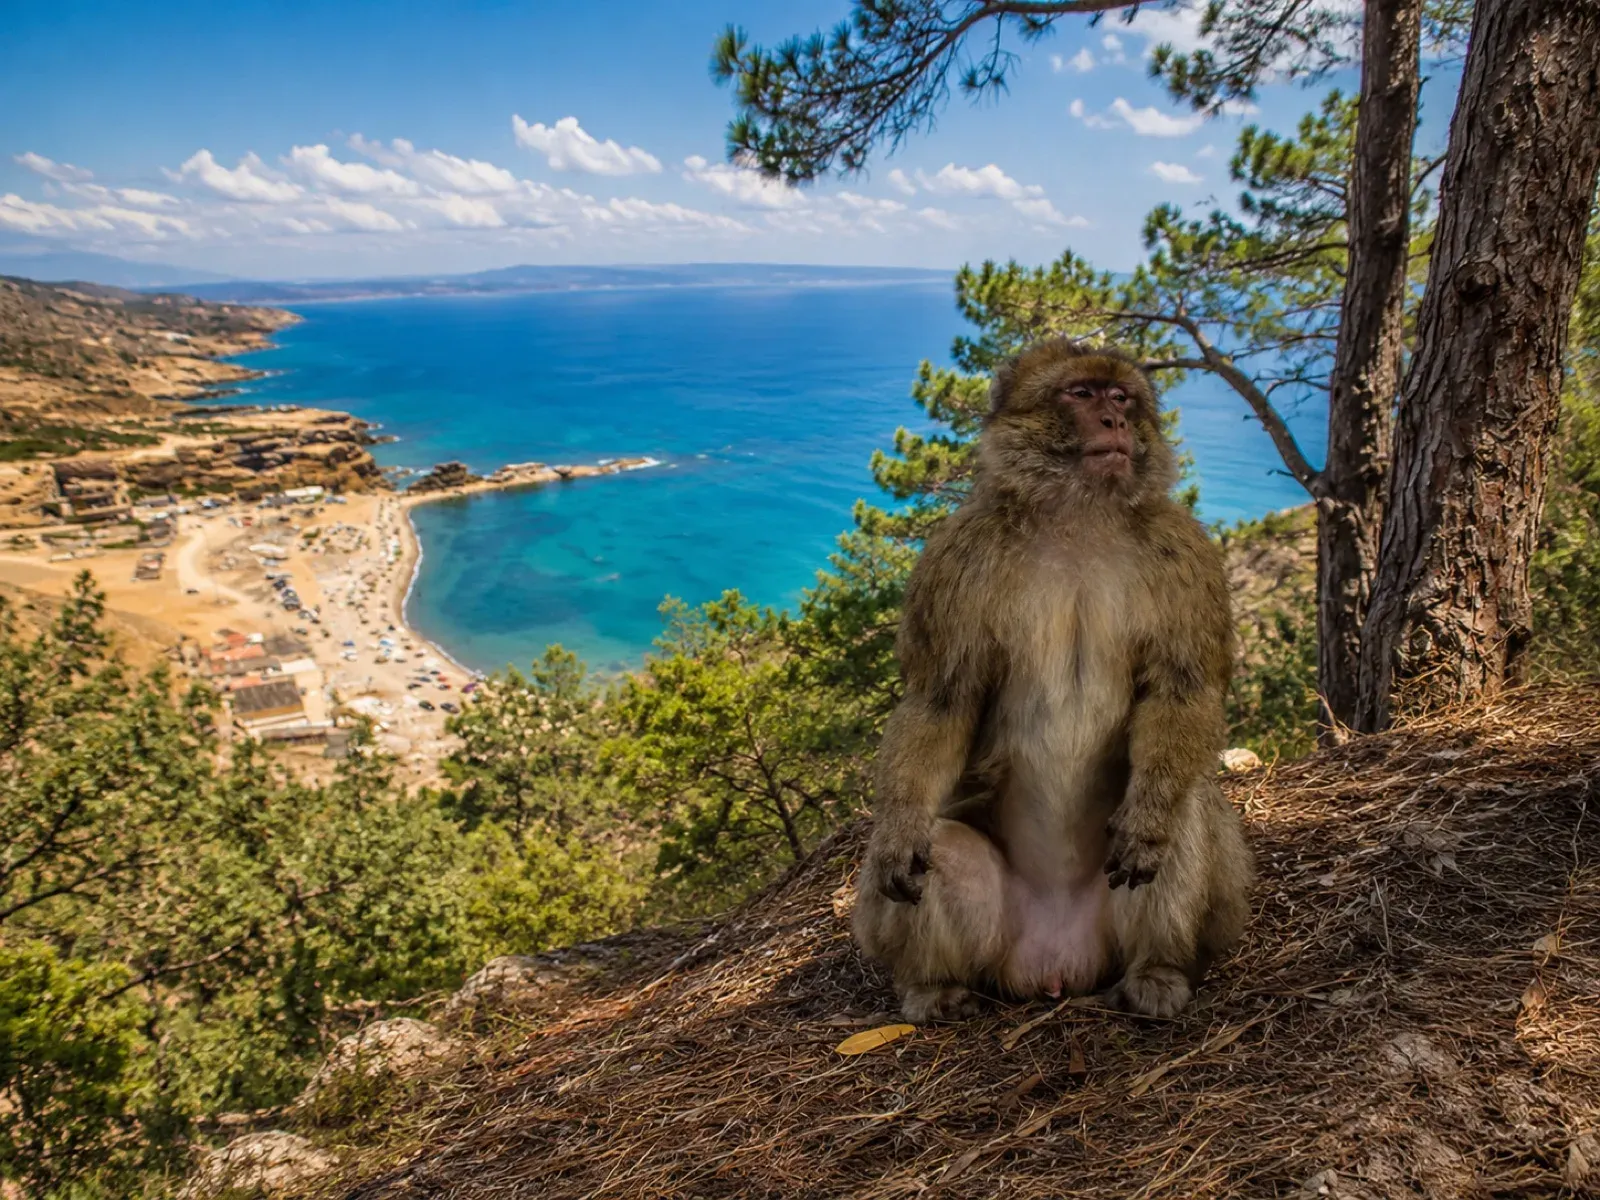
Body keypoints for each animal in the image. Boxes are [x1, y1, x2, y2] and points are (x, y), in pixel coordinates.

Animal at [853, 337, 1252, 1022]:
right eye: (1081, 393)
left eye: (1122, 397)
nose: (1115, 421)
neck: (1079, 517)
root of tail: (1059, 966)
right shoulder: (957, 558)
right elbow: (941, 701)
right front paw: (898, 826)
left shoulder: (1184, 553)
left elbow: (1182, 689)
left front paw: (1149, 816)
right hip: (1000, 946)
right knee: (941, 848)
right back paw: (932, 986)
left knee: (1185, 808)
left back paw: (1159, 972)